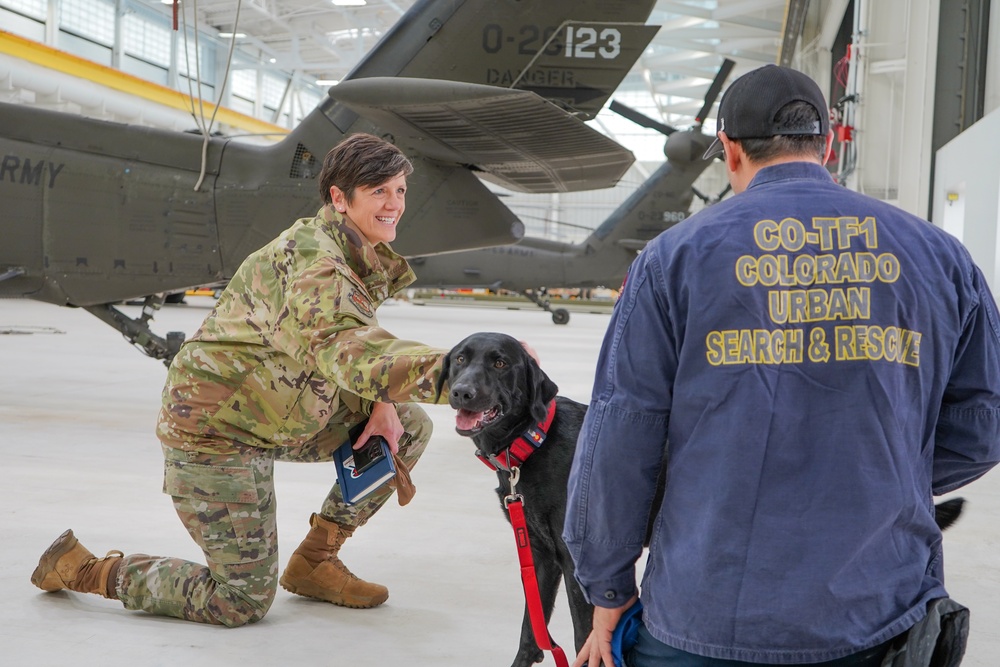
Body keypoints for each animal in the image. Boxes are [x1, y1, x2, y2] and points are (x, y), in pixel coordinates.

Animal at [438, 332, 960, 667]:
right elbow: (533, 637)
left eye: (500, 363)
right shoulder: (542, 558)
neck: (534, 441)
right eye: (460, 359)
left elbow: (586, 637)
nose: (461, 392)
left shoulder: (578, 565)